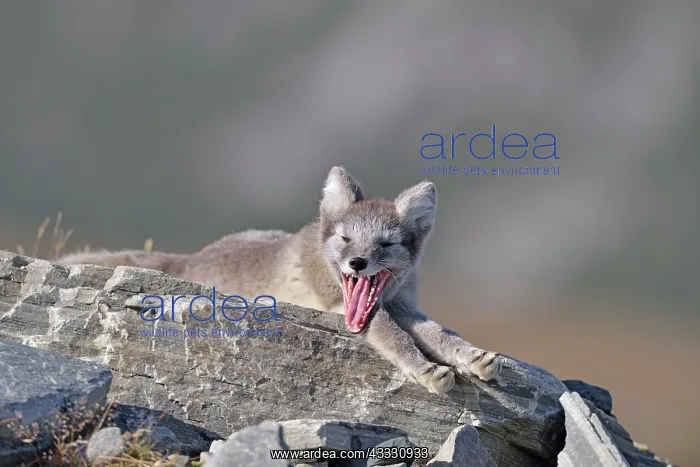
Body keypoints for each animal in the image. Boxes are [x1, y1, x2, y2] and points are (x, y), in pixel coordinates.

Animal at [59, 166, 503, 394]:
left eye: (386, 243)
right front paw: (425, 370)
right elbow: (393, 335)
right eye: (345, 238)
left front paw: (472, 356)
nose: (357, 262)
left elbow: (440, 332)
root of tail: (194, 258)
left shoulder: (403, 303)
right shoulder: (347, 307)